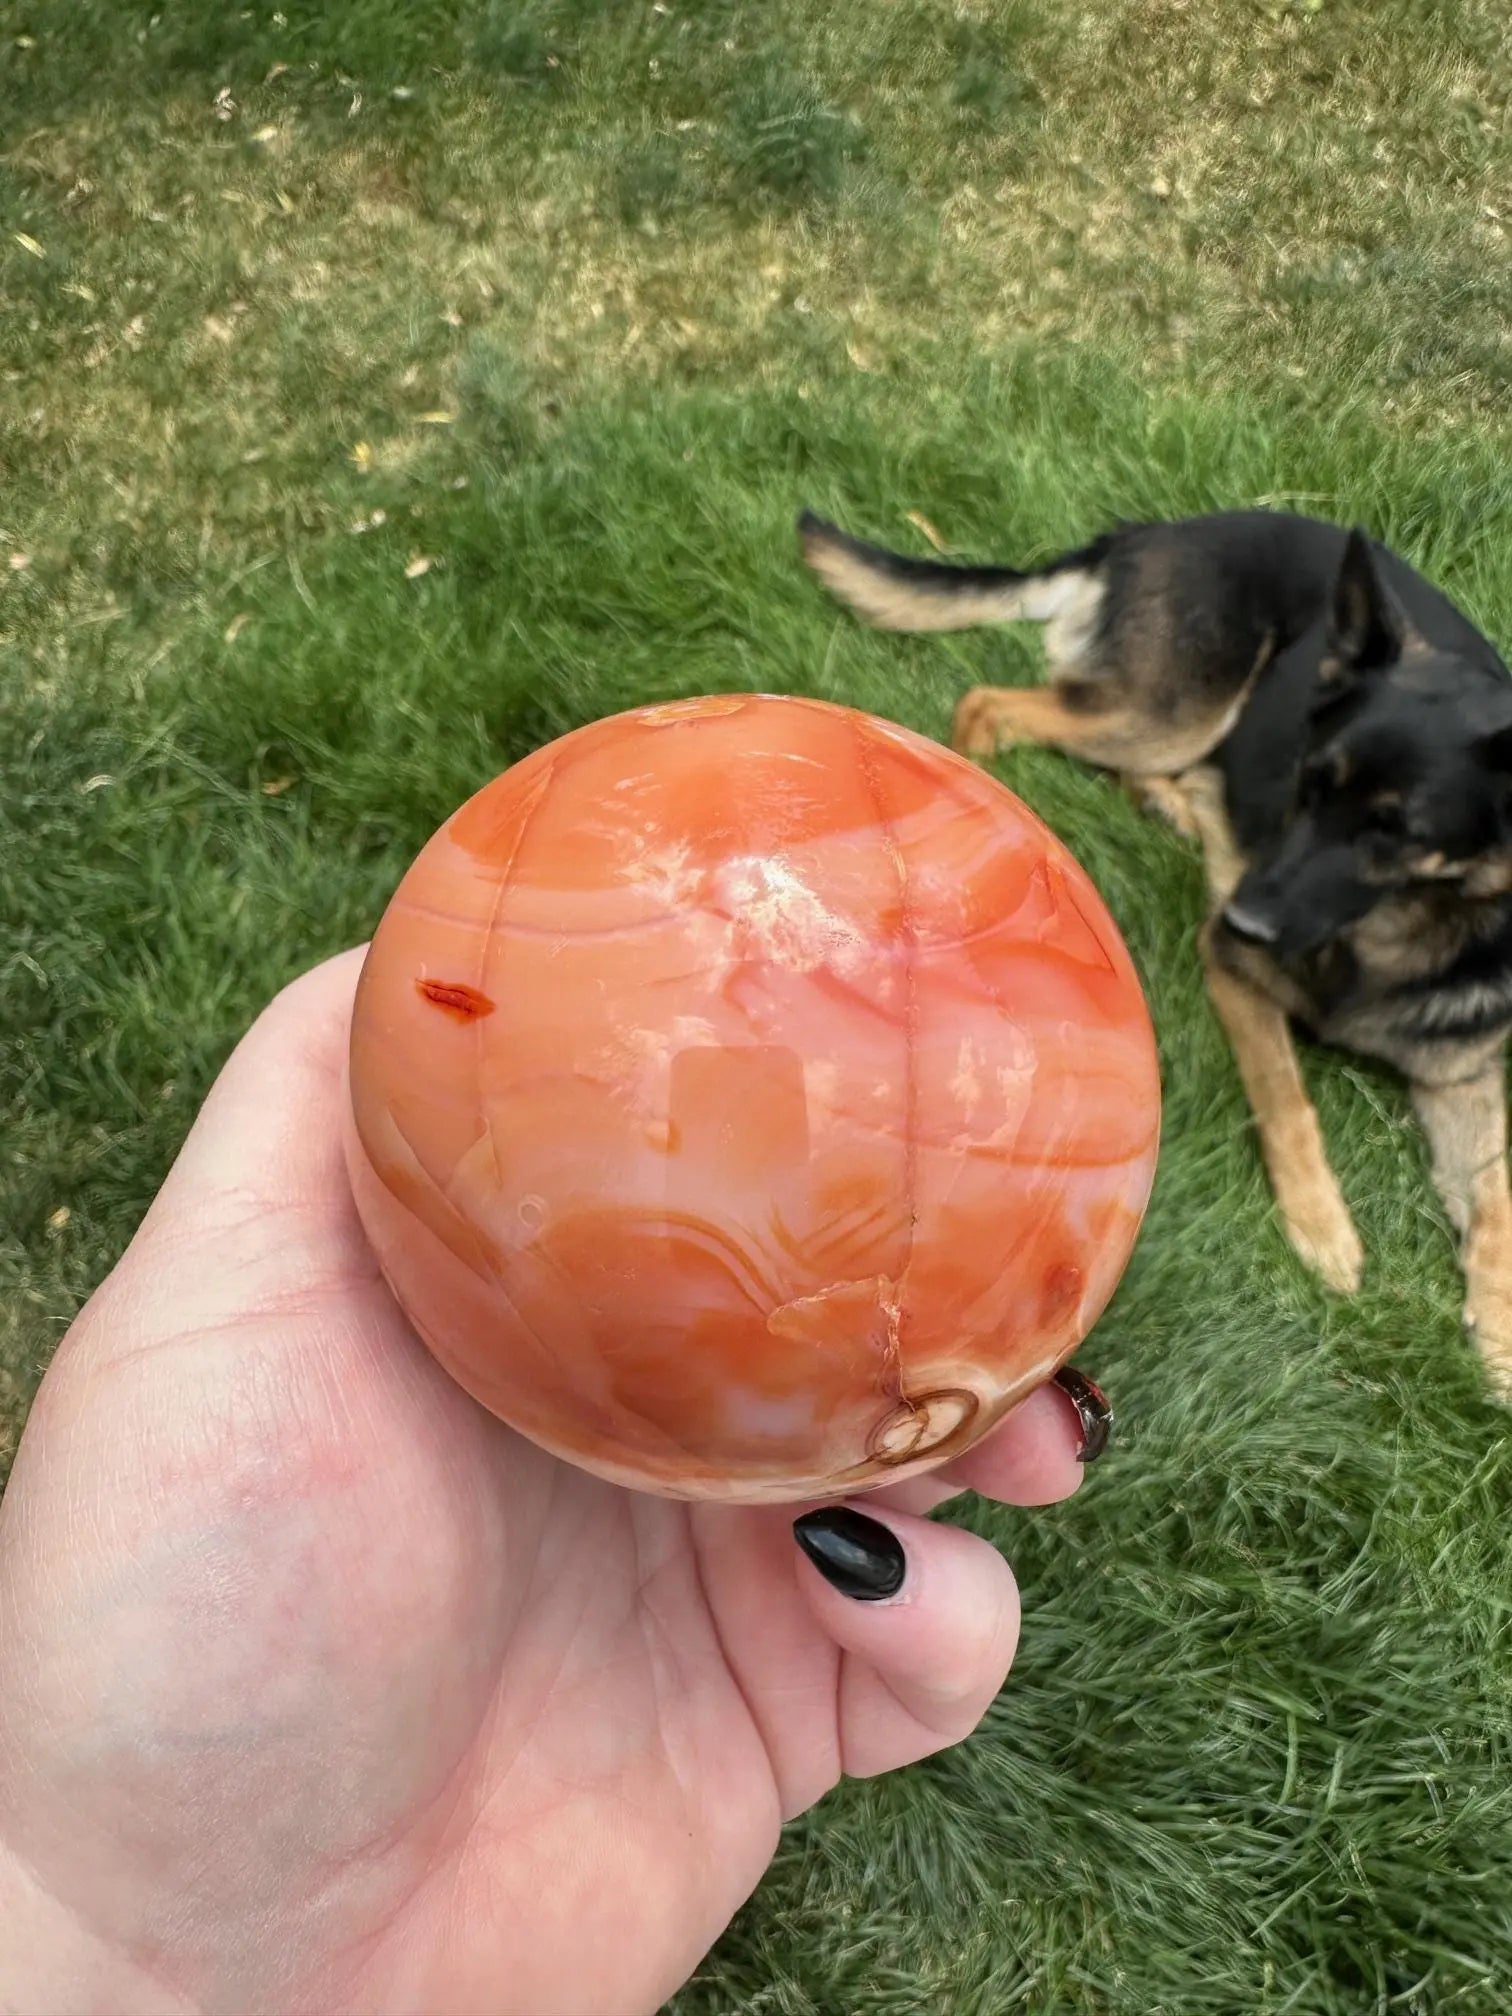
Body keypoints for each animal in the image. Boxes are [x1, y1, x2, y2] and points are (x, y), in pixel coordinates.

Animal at [810, 504, 1512, 1395]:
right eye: (1309, 785)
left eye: (1396, 831)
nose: (1241, 919)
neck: (1407, 930)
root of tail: (1153, 530)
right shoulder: (1238, 977)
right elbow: (1290, 1101)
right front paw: (1323, 1227)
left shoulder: (1461, 1074)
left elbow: (1497, 1197)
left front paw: (1501, 1327)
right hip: (1172, 713)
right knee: (992, 703)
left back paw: (1177, 809)